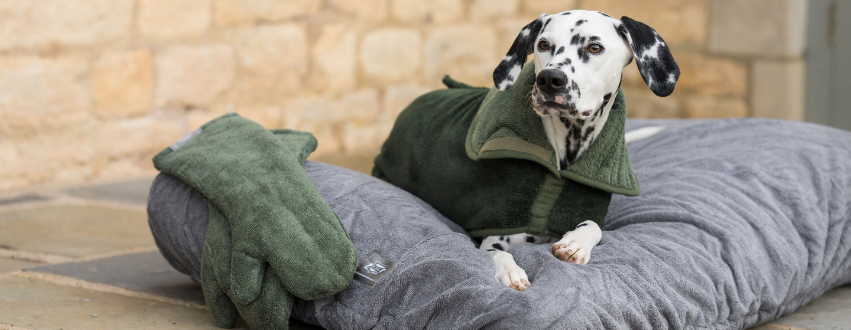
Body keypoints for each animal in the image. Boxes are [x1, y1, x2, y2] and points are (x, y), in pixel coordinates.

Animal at [482, 9, 684, 290]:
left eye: (594, 47)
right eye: (543, 44)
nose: (550, 80)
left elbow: (593, 225)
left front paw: (576, 243)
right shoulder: (490, 238)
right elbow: (498, 253)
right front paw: (511, 271)